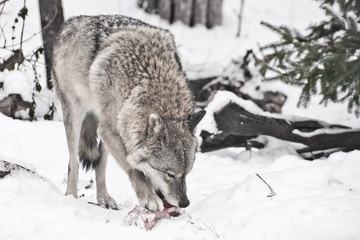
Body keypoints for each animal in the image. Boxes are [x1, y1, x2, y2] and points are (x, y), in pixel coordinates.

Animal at [52, 14, 205, 210]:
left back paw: (104, 198)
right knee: (73, 163)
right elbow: (134, 169)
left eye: (186, 173)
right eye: (169, 174)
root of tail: (68, 23)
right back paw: (71, 196)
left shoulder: (118, 131)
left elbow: (139, 169)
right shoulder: (110, 130)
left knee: (100, 165)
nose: (185, 203)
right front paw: (149, 197)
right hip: (76, 115)